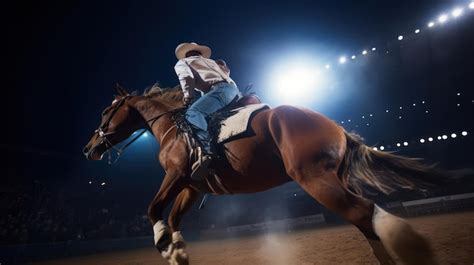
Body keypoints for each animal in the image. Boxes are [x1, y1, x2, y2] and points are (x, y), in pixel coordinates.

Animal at [83, 84, 442, 264]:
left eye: (105, 110)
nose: (89, 148)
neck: (176, 126)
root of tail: (336, 128)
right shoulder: (192, 185)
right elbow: (173, 216)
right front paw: (179, 252)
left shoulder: (175, 175)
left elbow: (154, 209)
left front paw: (164, 246)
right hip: (332, 181)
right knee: (364, 219)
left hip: (316, 182)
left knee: (364, 213)